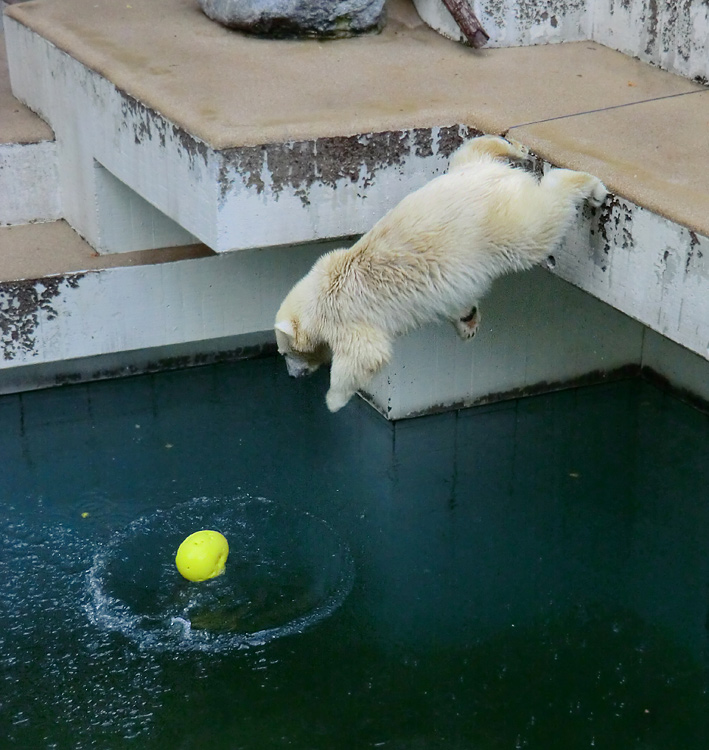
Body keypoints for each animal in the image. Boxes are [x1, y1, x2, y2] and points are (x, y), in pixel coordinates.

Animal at [274, 135, 604, 412]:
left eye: (285, 352)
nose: (291, 376)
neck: (318, 293)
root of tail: (498, 178)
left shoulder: (344, 317)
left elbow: (365, 356)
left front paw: (333, 400)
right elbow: (456, 301)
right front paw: (468, 321)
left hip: (498, 224)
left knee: (537, 225)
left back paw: (592, 187)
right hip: (466, 170)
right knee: (471, 150)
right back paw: (515, 148)